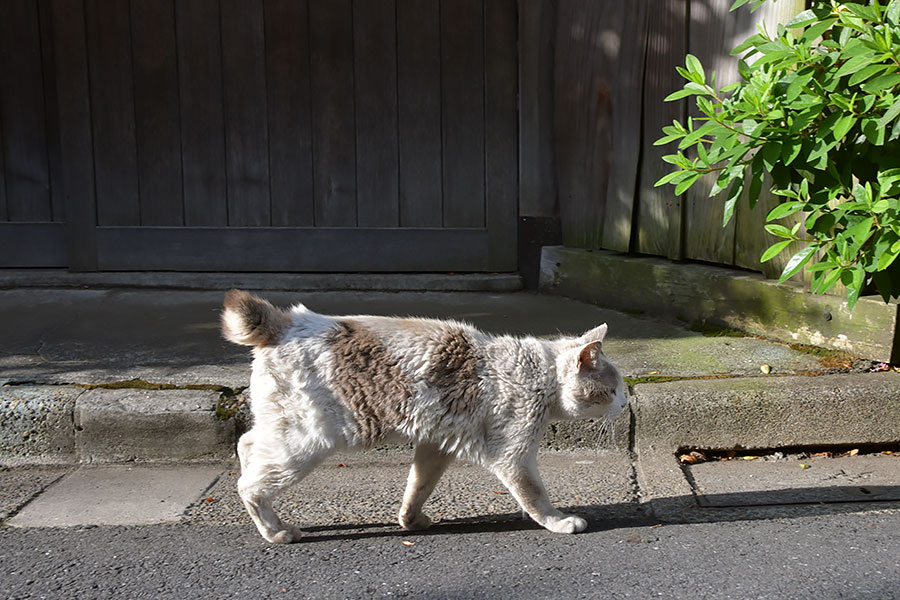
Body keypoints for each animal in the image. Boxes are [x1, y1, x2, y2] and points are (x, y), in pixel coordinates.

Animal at [221, 290, 628, 544]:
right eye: (613, 390)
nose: (625, 403)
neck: (538, 373)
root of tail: (284, 322)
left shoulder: (436, 446)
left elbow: (417, 488)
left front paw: (410, 521)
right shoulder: (514, 456)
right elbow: (536, 497)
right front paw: (559, 522)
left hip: (286, 430)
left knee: (246, 443)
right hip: (306, 442)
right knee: (249, 485)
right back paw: (275, 531)